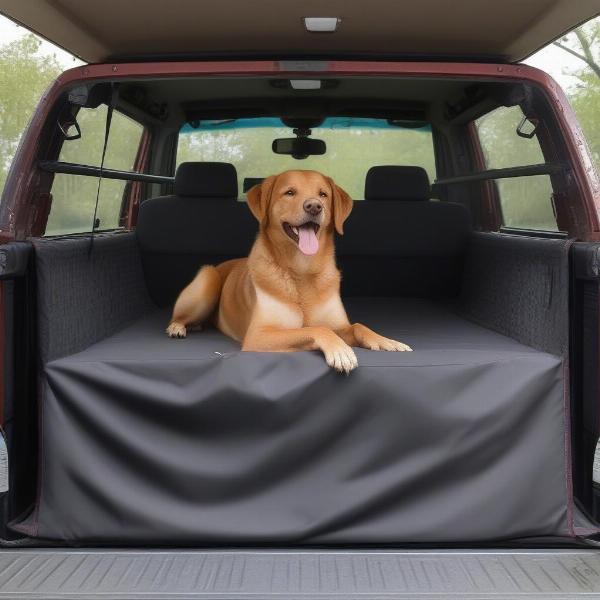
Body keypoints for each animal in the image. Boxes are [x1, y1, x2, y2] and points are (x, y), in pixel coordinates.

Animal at [168, 169, 412, 372]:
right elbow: (317, 329)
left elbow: (359, 326)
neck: (302, 271)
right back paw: (177, 327)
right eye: (289, 192)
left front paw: (386, 341)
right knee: (179, 315)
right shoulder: (260, 335)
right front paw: (341, 350)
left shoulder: (340, 325)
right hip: (207, 279)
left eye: (323, 194)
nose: (314, 206)